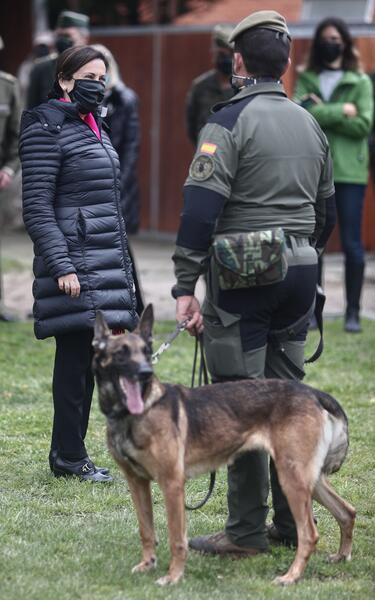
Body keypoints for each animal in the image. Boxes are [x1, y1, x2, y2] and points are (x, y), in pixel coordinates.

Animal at [92, 304, 356, 584]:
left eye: (145, 351)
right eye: (121, 353)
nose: (146, 372)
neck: (132, 413)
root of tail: (313, 393)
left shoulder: (171, 484)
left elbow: (176, 539)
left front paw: (173, 577)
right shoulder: (137, 482)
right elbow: (146, 530)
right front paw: (147, 564)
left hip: (292, 478)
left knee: (309, 534)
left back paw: (291, 577)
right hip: (309, 479)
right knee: (347, 512)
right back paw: (341, 556)